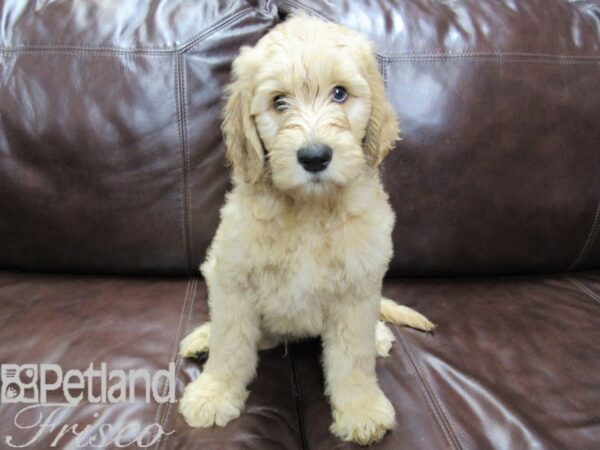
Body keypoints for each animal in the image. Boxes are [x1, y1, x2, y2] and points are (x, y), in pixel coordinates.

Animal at [176, 15, 434, 444]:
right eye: (279, 102)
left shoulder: (357, 289)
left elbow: (353, 359)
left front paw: (361, 410)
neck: (309, 211)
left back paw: (379, 337)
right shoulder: (233, 276)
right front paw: (214, 394)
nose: (314, 157)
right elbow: (230, 345)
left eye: (340, 93)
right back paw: (202, 339)